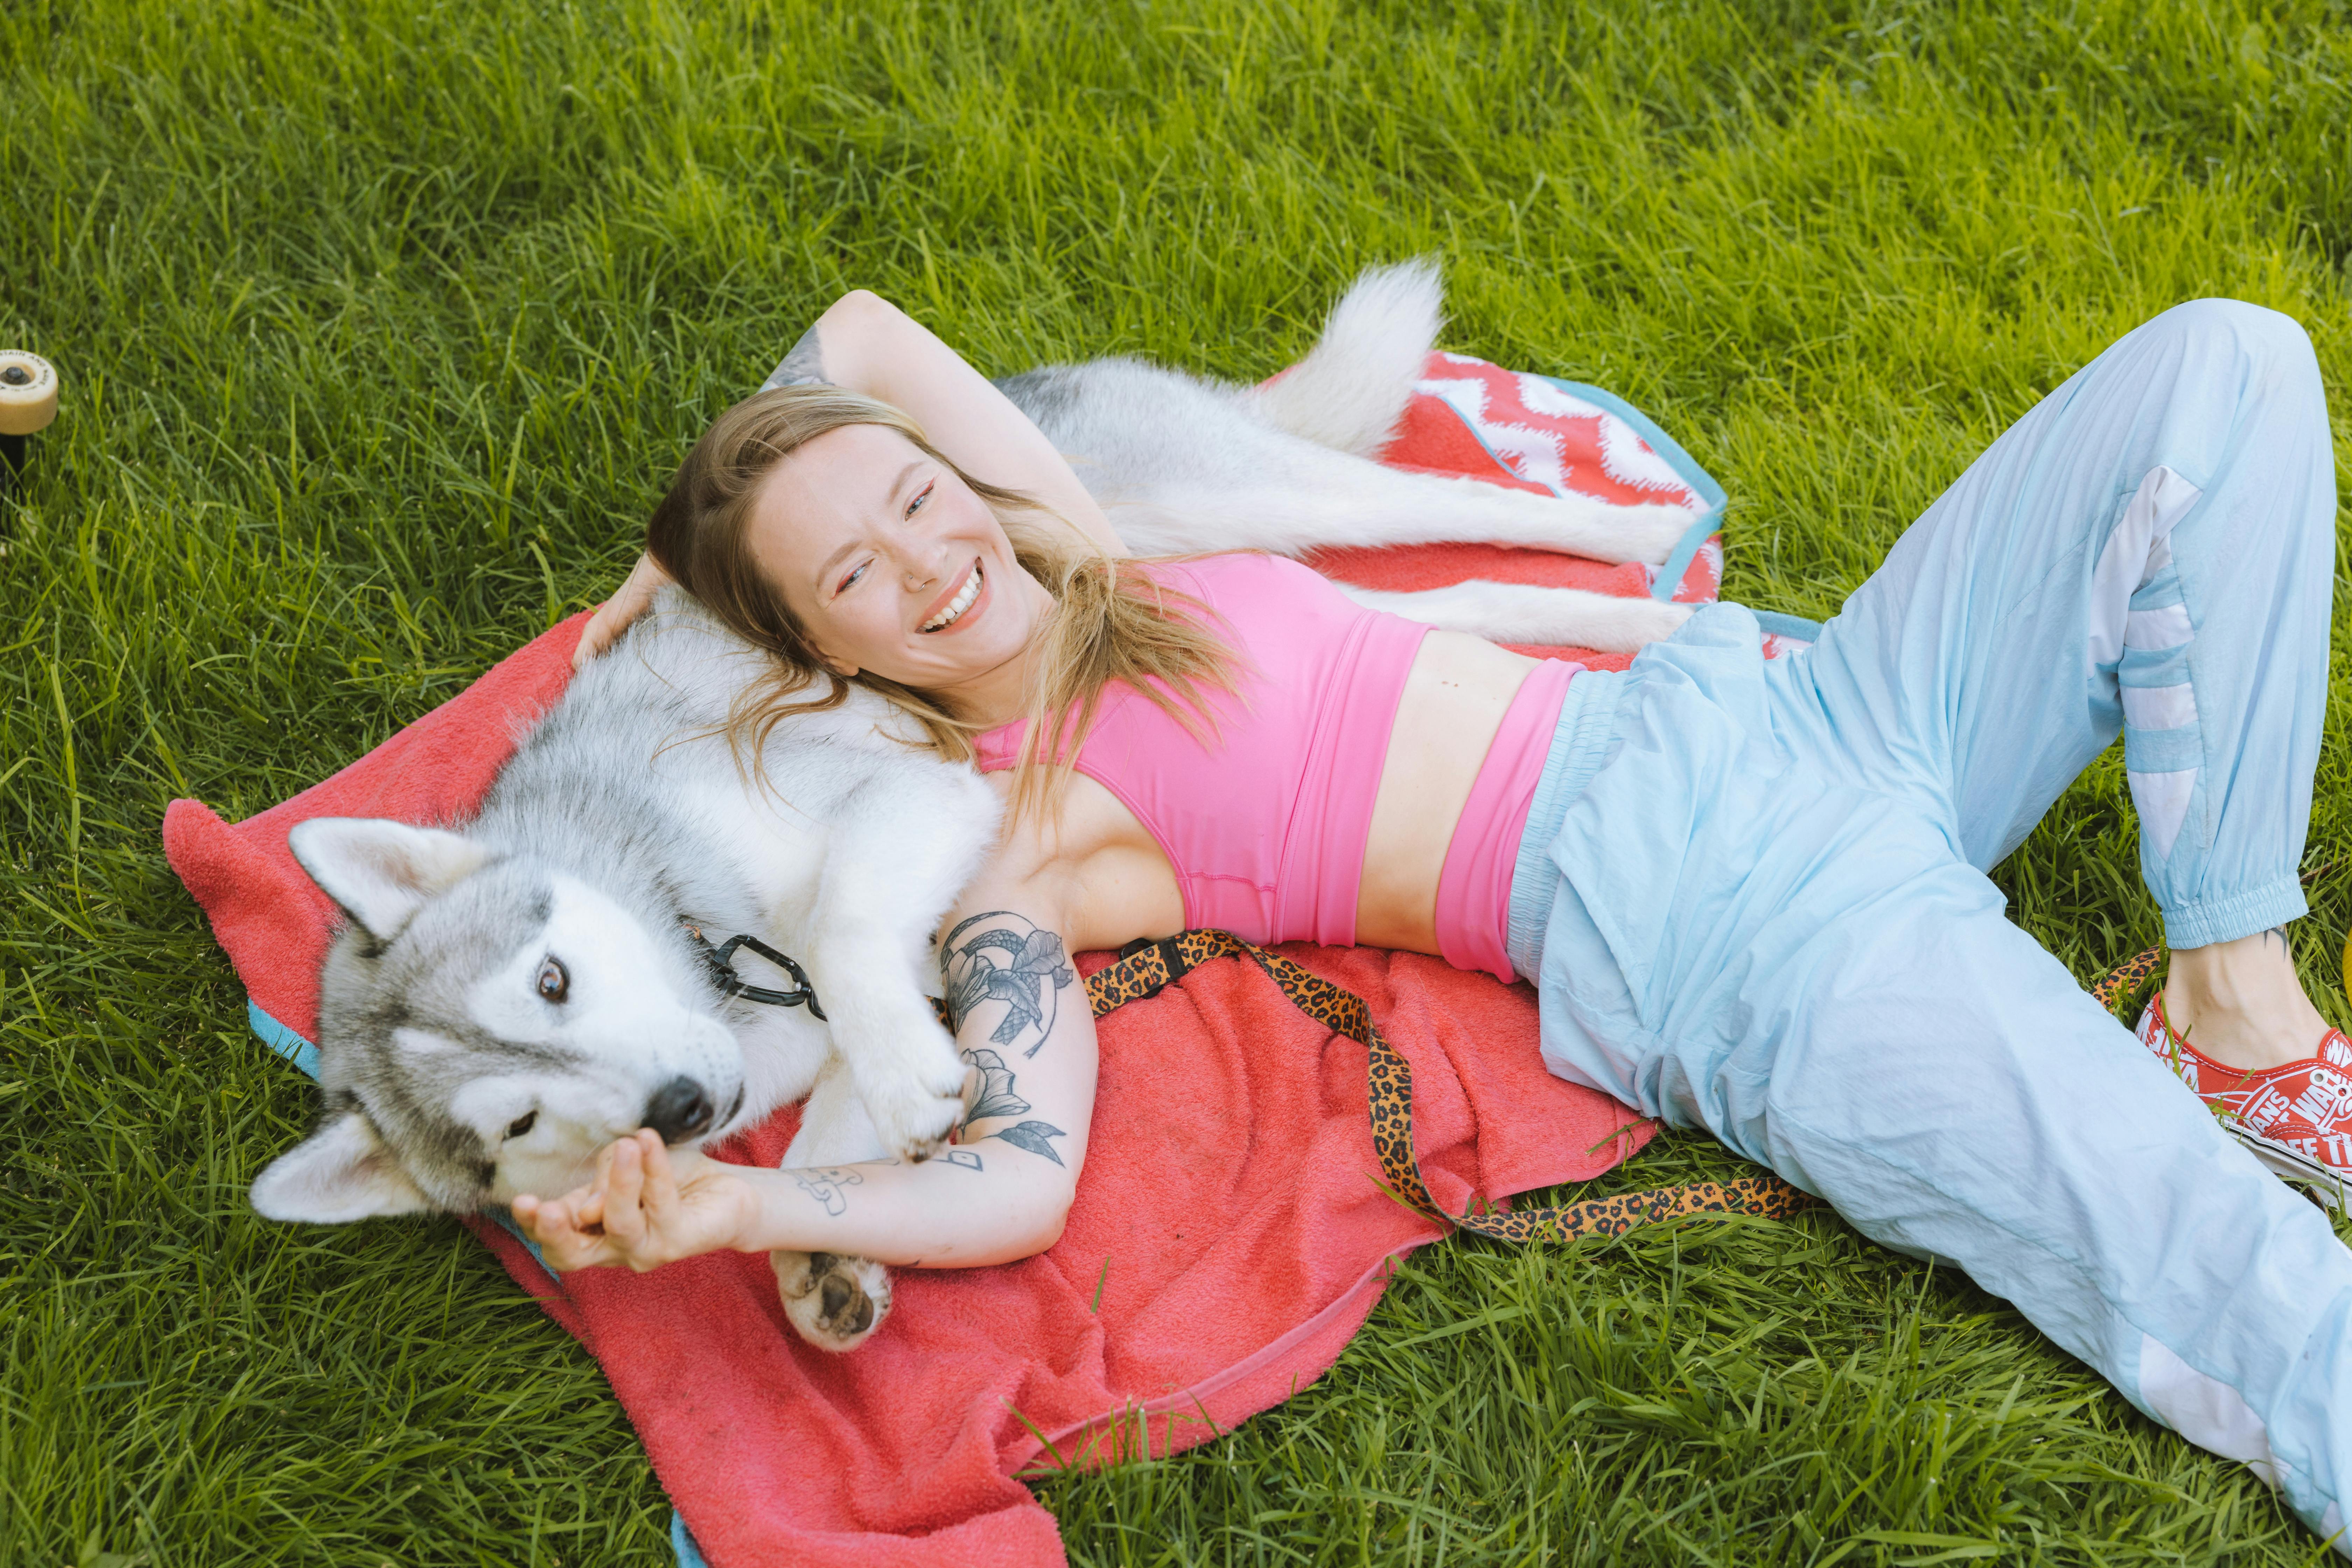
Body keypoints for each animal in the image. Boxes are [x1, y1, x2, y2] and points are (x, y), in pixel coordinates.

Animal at [243, 263, 1712, 1354]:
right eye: (515, 1127)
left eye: (550, 979)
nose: (680, 1103)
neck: (699, 936)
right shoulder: (836, 1012)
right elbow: (837, 1139)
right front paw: (816, 1261)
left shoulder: (913, 790)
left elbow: (848, 927)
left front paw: (890, 1093)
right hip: (1222, 570)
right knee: (1450, 606)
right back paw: (1621, 620)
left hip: (1235, 498)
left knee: (1437, 507)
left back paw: (1635, 540)